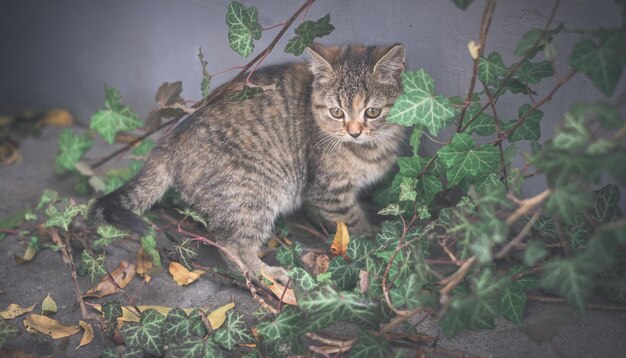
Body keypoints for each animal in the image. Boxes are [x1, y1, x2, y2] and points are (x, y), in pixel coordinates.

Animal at [90, 42, 408, 282]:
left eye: (372, 111)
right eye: (337, 112)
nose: (354, 132)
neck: (370, 147)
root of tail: (169, 141)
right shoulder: (329, 192)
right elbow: (352, 222)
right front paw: (374, 237)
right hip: (254, 194)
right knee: (231, 245)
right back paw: (264, 275)